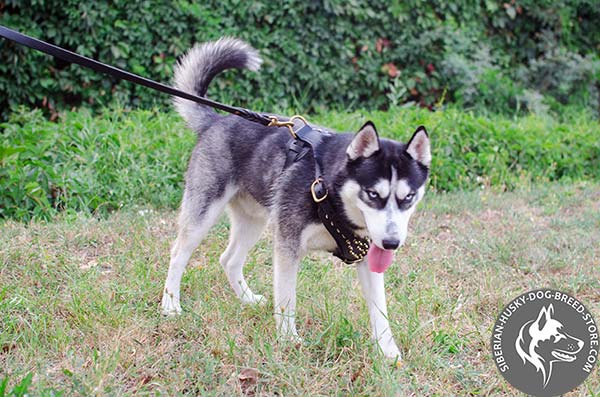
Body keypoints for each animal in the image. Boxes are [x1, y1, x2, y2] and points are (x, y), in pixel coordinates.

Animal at [161, 38, 432, 358]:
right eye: (373, 194)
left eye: (408, 197)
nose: (391, 242)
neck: (329, 188)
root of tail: (217, 120)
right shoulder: (287, 247)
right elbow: (287, 300)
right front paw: (289, 339)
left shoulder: (368, 257)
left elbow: (380, 309)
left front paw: (388, 351)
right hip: (204, 212)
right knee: (178, 253)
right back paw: (170, 305)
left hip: (255, 220)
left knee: (228, 259)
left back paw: (247, 299)